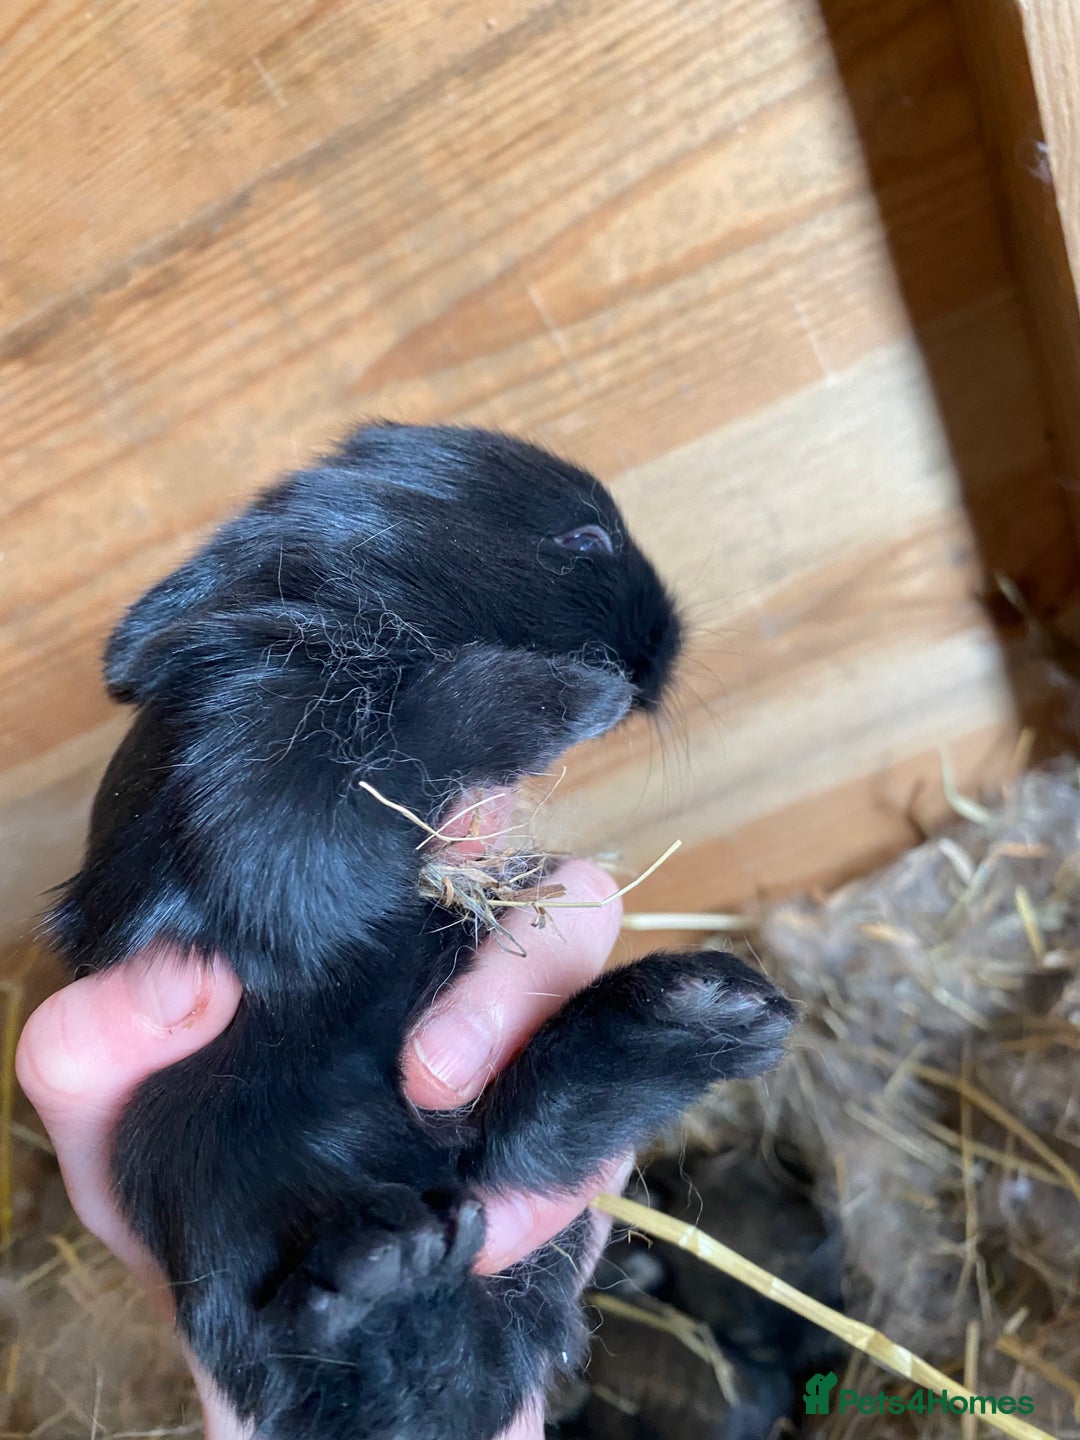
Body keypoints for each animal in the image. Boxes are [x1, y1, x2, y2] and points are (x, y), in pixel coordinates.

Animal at [48, 423, 796, 1440]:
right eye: (583, 541)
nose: (662, 645)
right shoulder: (253, 776)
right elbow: (400, 738)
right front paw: (570, 697)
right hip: (211, 1155)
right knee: (359, 1318)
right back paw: (386, 1271)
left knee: (513, 1152)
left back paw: (701, 1016)